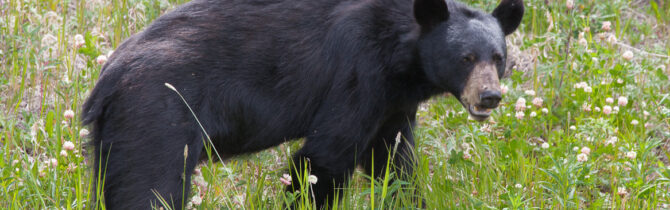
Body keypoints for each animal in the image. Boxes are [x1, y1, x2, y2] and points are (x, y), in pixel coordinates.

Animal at [82, 0, 524, 208]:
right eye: (466, 58)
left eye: (498, 57)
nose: (490, 96)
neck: (401, 58)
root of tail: (106, 80)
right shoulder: (358, 74)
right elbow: (325, 157)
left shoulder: (392, 104)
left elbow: (394, 163)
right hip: (157, 120)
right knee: (150, 189)